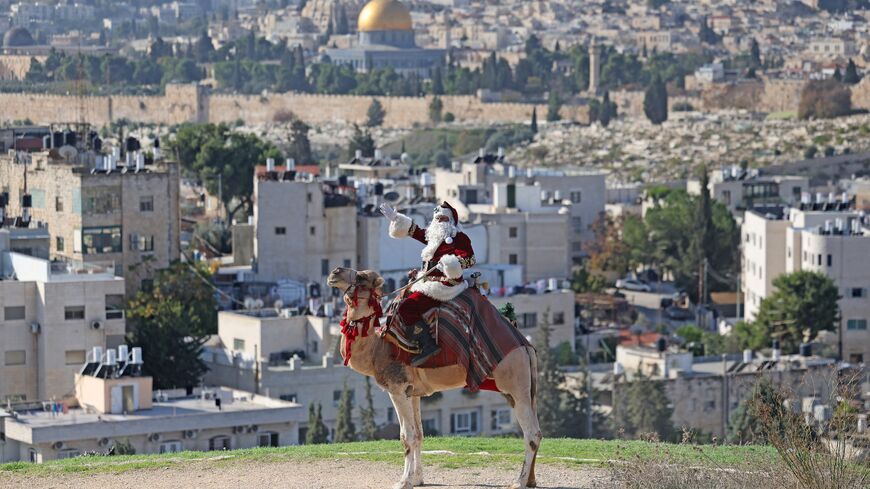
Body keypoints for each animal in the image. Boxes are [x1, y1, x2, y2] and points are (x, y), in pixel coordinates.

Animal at [328, 266, 544, 488]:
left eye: (361, 277)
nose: (335, 272)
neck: (379, 346)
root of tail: (526, 347)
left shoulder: (397, 389)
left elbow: (407, 436)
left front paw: (403, 481)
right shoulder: (413, 392)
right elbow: (418, 434)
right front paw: (417, 479)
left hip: (515, 383)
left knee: (531, 433)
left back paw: (518, 482)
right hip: (524, 388)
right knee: (537, 429)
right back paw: (530, 480)